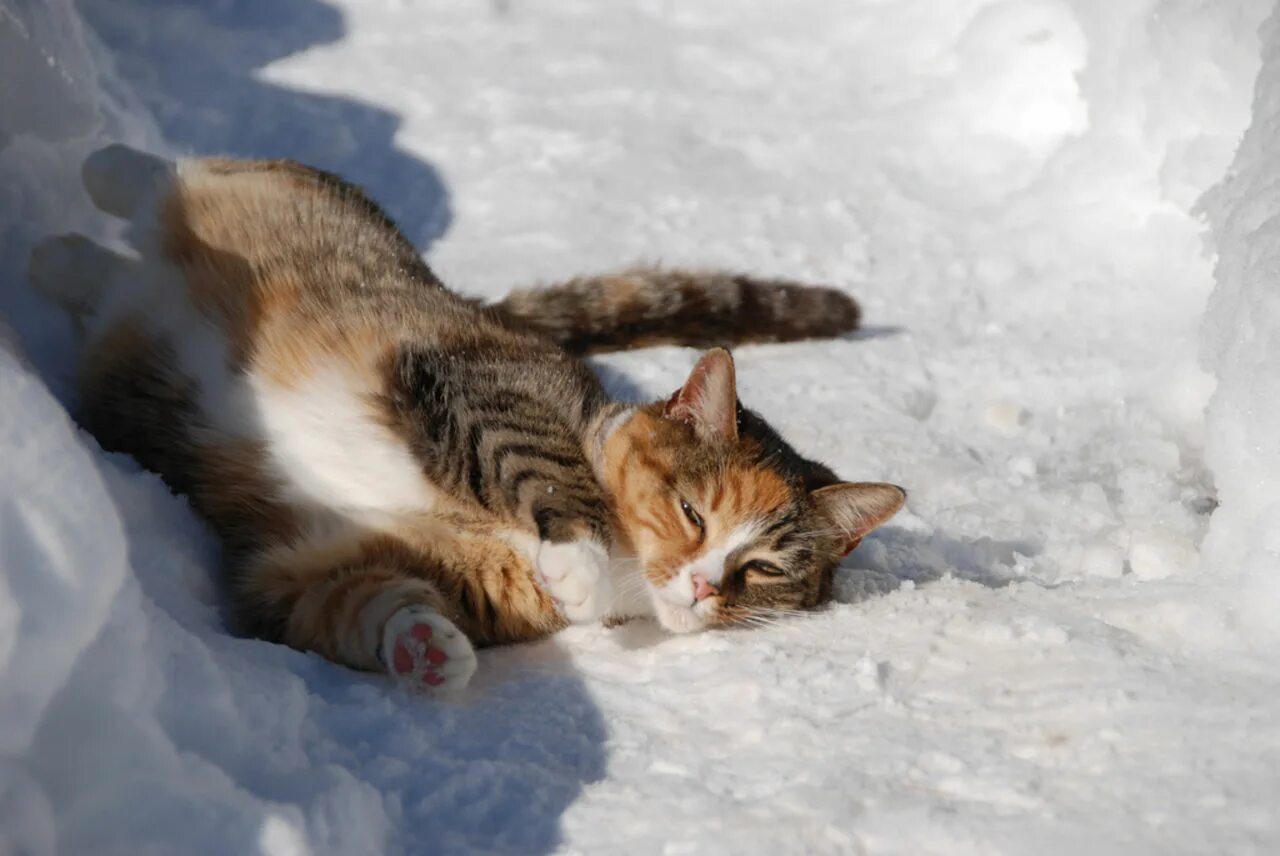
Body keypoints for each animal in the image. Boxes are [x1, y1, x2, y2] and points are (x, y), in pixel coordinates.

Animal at [32, 145, 911, 696]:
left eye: (761, 569)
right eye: (693, 512)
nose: (701, 586)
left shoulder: (308, 564)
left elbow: (344, 601)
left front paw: (428, 650)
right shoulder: (487, 387)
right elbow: (548, 467)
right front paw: (579, 564)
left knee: (100, 273)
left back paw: (67, 257)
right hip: (309, 212)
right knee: (185, 176)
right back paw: (108, 171)